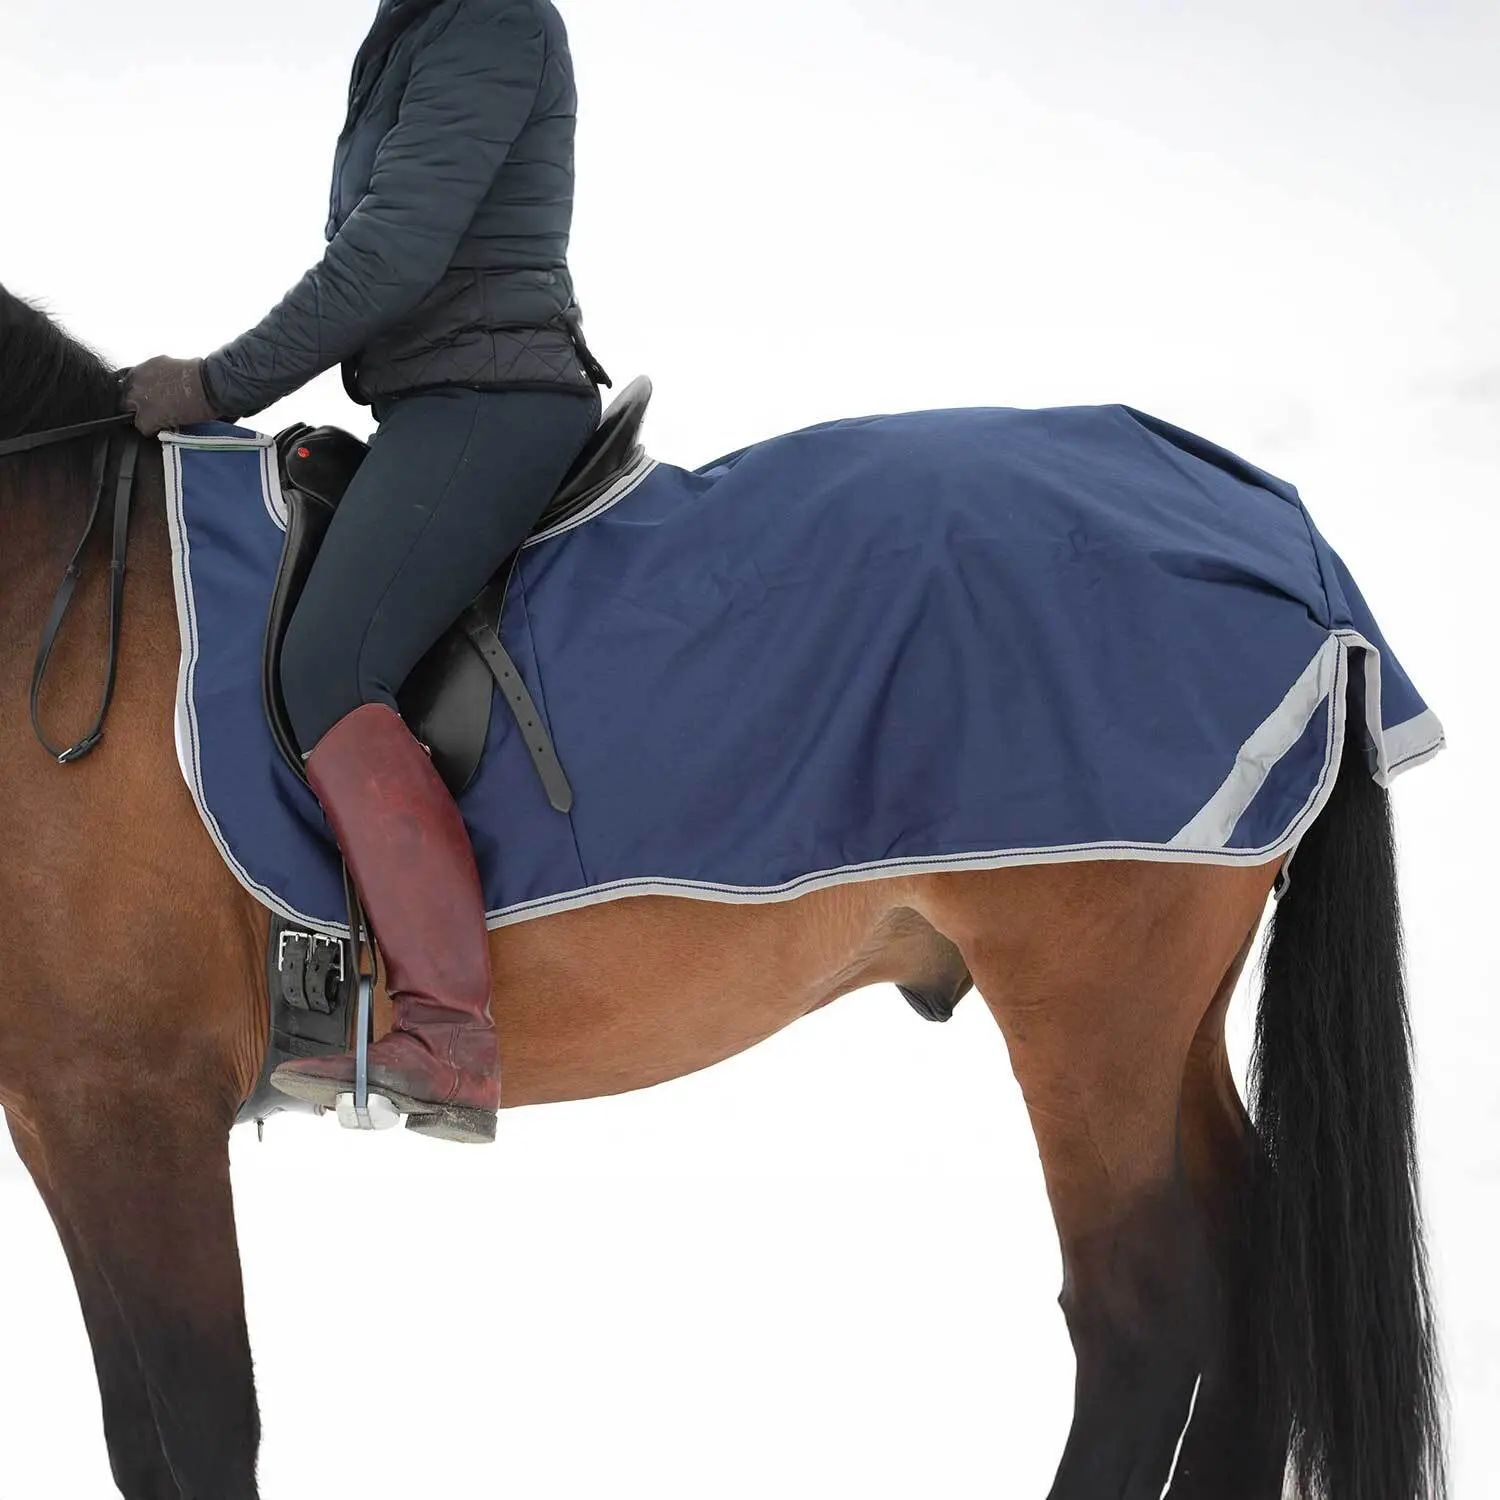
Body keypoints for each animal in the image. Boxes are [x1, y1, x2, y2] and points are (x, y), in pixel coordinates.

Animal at [0, 286, 1444, 1500]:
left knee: (1144, 1312)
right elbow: (151, 1431)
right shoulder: (68, 1112)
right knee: (1257, 1256)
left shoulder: (130, 1103)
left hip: (1091, 1015)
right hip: (1166, 1012)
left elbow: (195, 1424)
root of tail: (1271, 528)